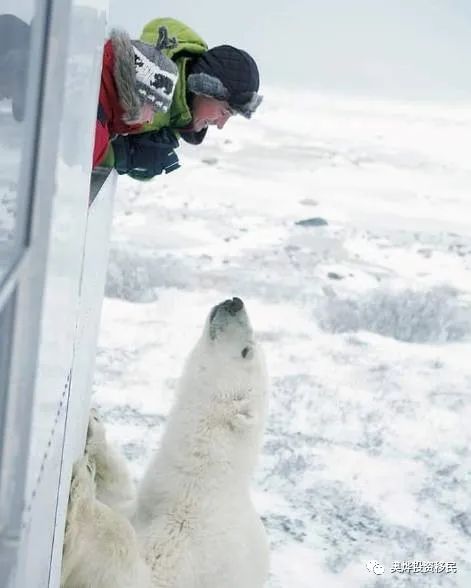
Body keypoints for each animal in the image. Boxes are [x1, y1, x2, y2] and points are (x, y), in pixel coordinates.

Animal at [60, 296, 272, 588]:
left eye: (246, 351)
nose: (235, 302)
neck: (195, 484)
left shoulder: (191, 541)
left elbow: (145, 574)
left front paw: (82, 495)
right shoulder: (144, 508)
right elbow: (119, 495)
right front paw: (95, 430)